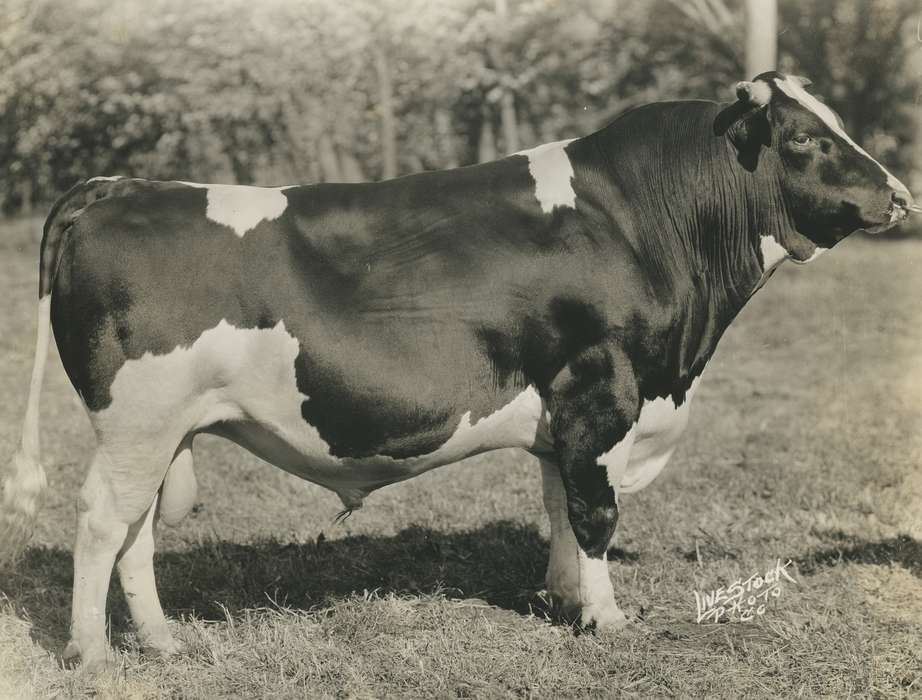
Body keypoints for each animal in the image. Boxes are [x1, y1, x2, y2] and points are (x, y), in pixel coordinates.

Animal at [1, 72, 916, 670]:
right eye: (808, 139)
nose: (901, 195)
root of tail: (121, 185)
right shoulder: (601, 389)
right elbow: (594, 512)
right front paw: (607, 619)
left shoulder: (562, 408)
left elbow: (556, 503)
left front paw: (561, 599)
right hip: (138, 420)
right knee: (101, 522)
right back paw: (92, 655)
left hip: (161, 430)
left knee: (136, 532)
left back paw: (161, 641)